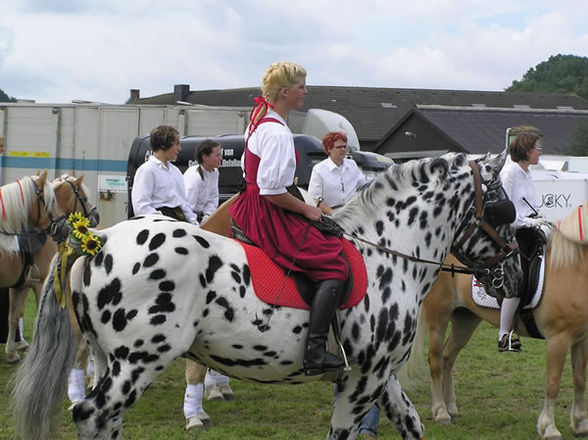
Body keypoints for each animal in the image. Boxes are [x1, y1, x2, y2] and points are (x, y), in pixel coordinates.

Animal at [1, 174, 97, 362]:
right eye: (83, 197)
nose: (96, 215)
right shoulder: (39, 285)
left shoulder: (20, 285)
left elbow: (13, 316)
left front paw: (12, 352)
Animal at [12, 150, 520, 438]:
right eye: (503, 206)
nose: (515, 271)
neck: (388, 252)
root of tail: (98, 238)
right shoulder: (361, 381)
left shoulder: (379, 377)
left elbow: (411, 424)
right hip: (139, 363)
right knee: (91, 415)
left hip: (110, 361)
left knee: (105, 420)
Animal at [408, 206, 588, 440]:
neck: (573, 268)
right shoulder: (559, 339)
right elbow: (553, 383)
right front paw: (549, 427)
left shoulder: (580, 339)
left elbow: (579, 380)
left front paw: (580, 424)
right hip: (438, 318)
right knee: (436, 361)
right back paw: (441, 413)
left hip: (465, 320)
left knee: (448, 357)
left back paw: (451, 408)